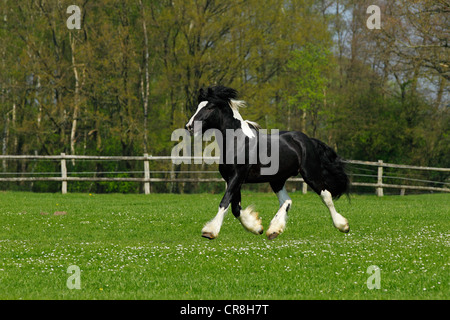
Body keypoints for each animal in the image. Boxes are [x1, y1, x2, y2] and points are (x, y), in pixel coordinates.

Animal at [185, 85, 350, 240]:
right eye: (198, 106)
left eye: (210, 107)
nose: (189, 127)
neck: (238, 142)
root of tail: (308, 139)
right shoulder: (232, 179)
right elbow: (235, 208)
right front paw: (256, 227)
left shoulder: (237, 176)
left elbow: (225, 202)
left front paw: (209, 231)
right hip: (277, 180)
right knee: (287, 201)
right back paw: (274, 230)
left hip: (311, 175)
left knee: (326, 196)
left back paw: (343, 226)